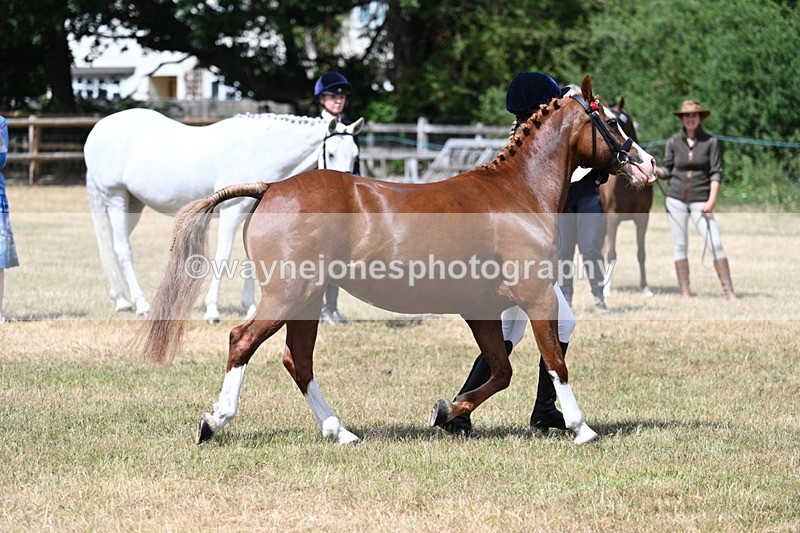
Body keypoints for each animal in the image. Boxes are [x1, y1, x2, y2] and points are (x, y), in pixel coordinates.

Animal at [85, 108, 363, 322]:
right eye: (331, 153)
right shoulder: (231, 212)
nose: (344, 193)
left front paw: (250, 306)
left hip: (133, 204)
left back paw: (122, 299)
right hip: (116, 198)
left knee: (111, 247)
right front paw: (212, 310)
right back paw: (141, 304)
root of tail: (98, 129)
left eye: (355, 155)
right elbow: (223, 256)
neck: (256, 151)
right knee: (122, 249)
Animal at [599, 98, 655, 297]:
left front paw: (645, 287)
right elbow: (612, 253)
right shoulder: (613, 218)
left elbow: (642, 253)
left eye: (623, 121)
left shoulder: (642, 217)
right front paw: (607, 289)